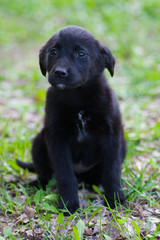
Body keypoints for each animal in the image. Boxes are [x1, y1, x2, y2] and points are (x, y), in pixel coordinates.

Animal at [16, 25, 126, 214]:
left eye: (81, 54)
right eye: (53, 51)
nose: (60, 72)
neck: (78, 97)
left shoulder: (111, 134)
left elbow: (111, 171)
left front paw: (115, 199)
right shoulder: (57, 138)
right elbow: (65, 175)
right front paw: (68, 204)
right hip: (39, 142)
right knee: (45, 173)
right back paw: (36, 184)